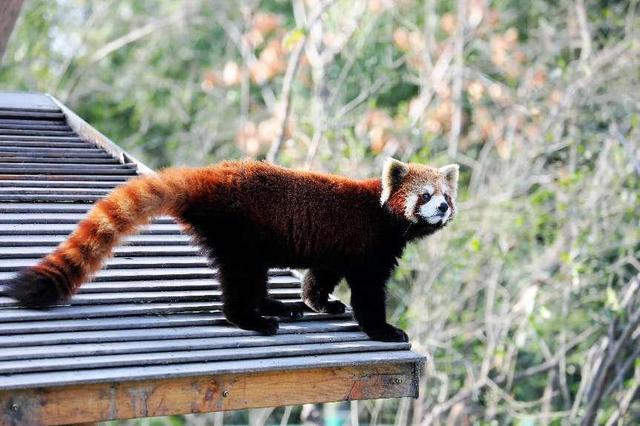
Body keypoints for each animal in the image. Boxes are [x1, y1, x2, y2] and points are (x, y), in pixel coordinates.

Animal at [2, 160, 458, 342]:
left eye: (447, 197)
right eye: (425, 195)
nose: (442, 208)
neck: (383, 213)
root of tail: (210, 176)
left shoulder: (334, 248)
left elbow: (320, 276)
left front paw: (320, 304)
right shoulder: (366, 245)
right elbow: (367, 293)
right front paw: (384, 329)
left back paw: (275, 306)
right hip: (241, 233)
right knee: (241, 281)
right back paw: (253, 319)